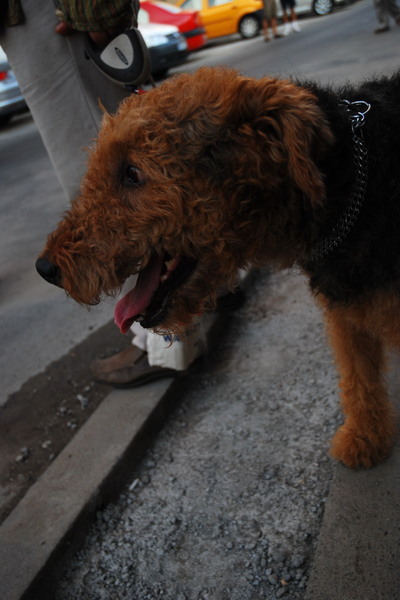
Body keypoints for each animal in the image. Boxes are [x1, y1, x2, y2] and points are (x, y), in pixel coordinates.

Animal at [36, 66, 400, 469]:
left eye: (132, 172)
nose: (45, 268)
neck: (352, 190)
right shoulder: (346, 314)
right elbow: (358, 376)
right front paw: (364, 438)